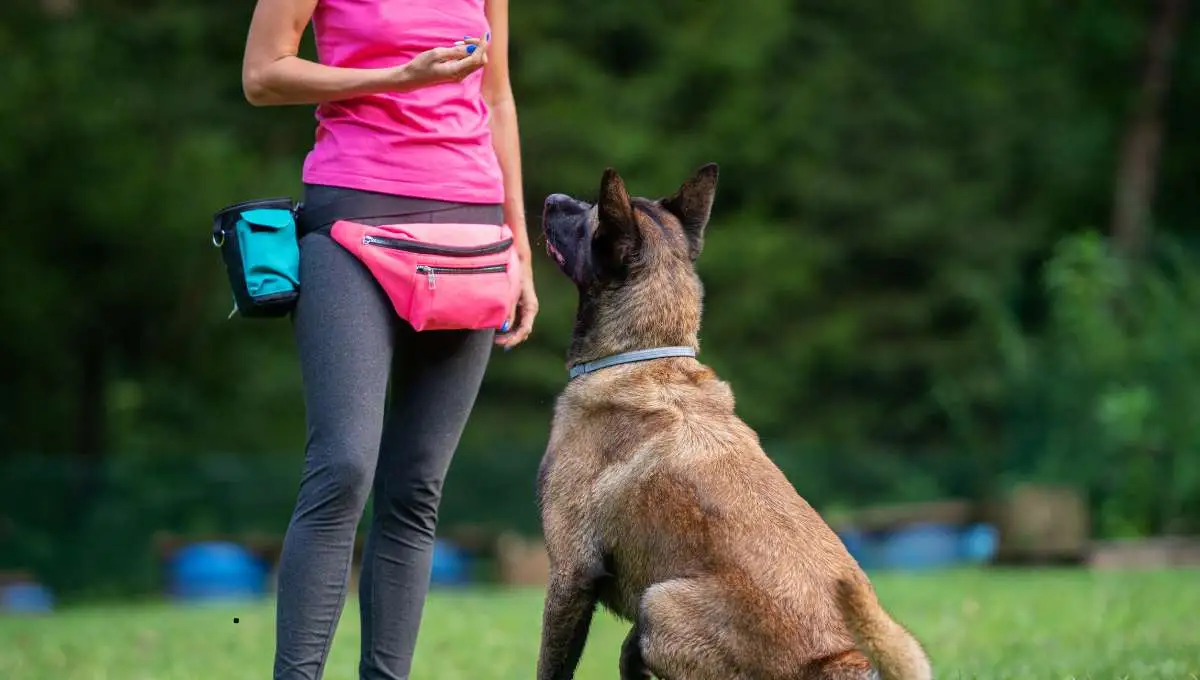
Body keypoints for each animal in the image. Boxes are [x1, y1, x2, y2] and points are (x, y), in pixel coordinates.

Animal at [535, 166, 936, 680]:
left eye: (590, 217)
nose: (550, 197)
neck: (645, 355)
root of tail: (839, 664)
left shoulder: (570, 573)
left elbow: (553, 665)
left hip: (659, 604)